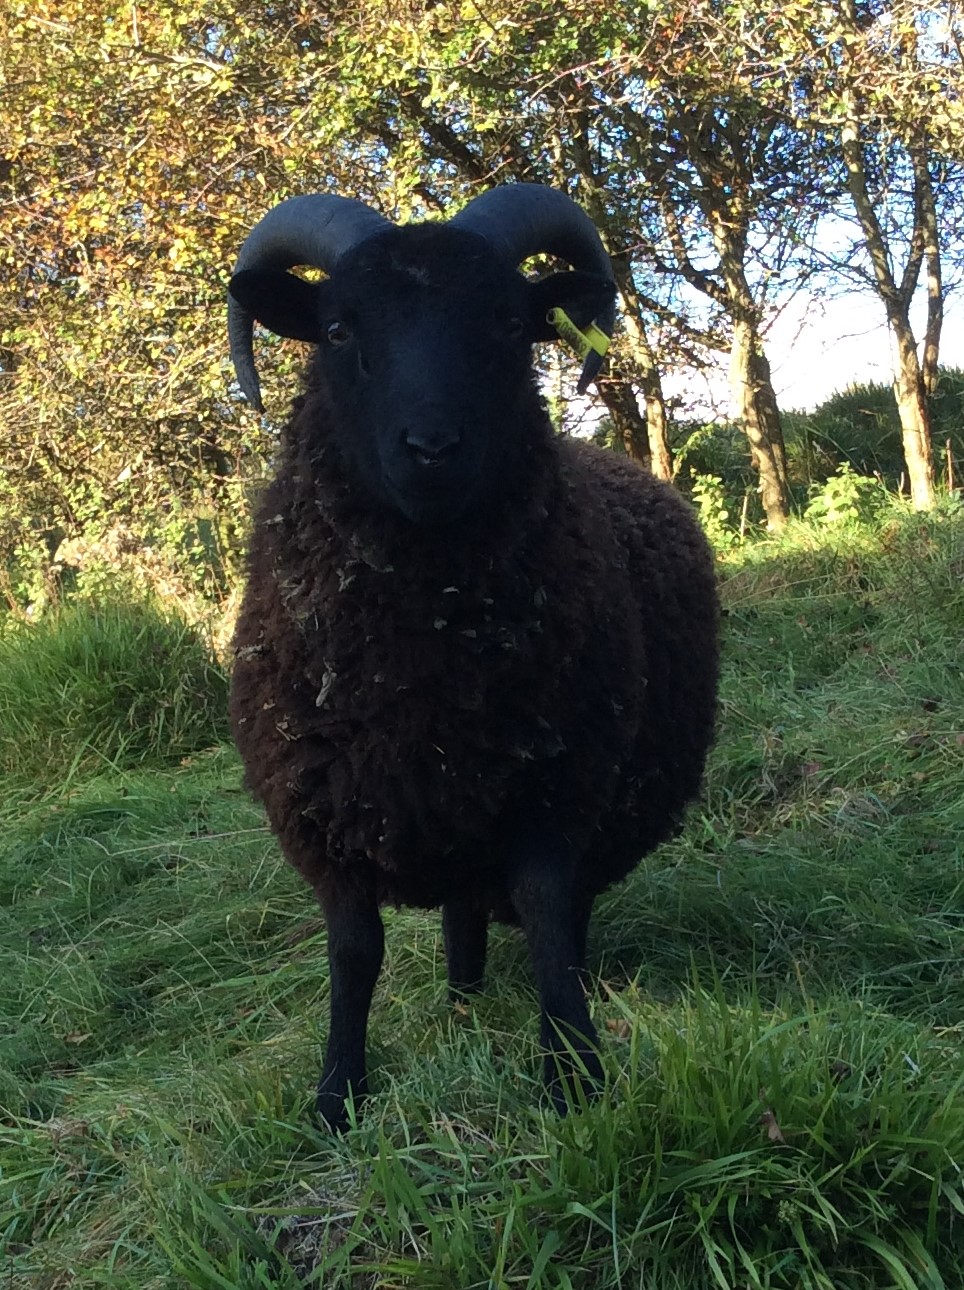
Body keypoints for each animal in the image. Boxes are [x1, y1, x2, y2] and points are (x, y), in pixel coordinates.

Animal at [229, 181, 722, 1130]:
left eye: (508, 321)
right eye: (338, 329)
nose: (431, 450)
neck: (424, 669)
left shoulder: (554, 783)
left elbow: (547, 916)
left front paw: (573, 1071)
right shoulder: (324, 816)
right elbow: (355, 953)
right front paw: (337, 1098)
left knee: (555, 915)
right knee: (461, 916)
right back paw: (460, 1003)